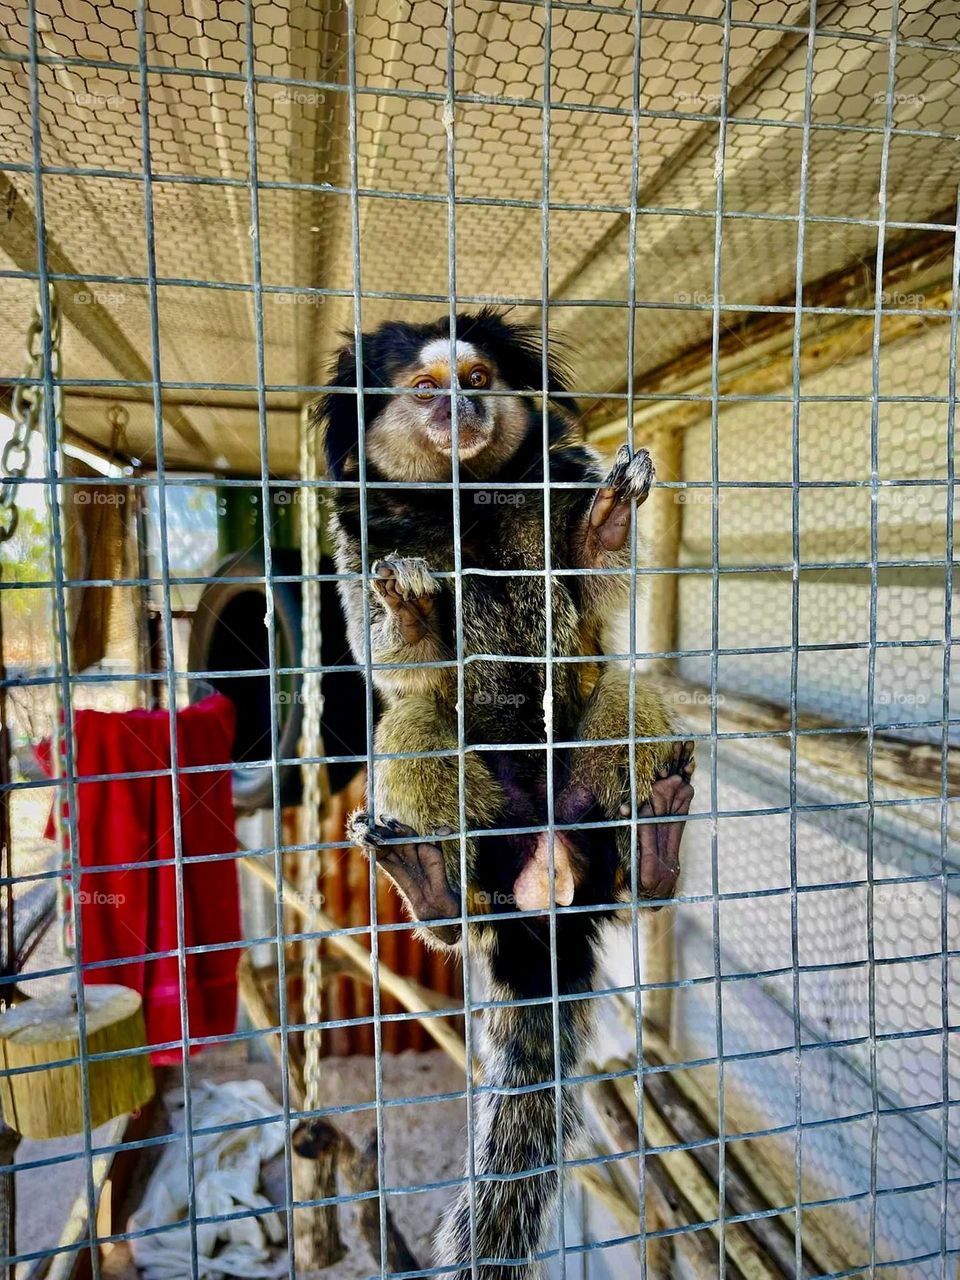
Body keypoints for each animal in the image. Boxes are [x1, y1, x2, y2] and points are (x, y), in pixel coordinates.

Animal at [314, 308, 694, 1279]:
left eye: (478, 376)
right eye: (424, 389)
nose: (463, 408)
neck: (464, 503)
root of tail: (544, 893)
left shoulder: (557, 491)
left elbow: (596, 599)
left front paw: (606, 525)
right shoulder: (357, 542)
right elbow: (390, 660)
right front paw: (413, 612)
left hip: (590, 807)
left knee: (624, 692)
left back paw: (653, 854)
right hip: (486, 836)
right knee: (413, 728)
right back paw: (435, 891)